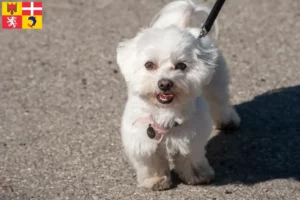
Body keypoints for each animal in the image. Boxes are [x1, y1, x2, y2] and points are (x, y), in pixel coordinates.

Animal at [116, 0, 240, 191]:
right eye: (149, 64)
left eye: (181, 65)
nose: (165, 83)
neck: (165, 111)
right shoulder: (141, 138)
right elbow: (150, 161)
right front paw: (156, 180)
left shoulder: (191, 136)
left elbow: (190, 157)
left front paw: (198, 175)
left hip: (216, 81)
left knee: (220, 101)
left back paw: (228, 120)